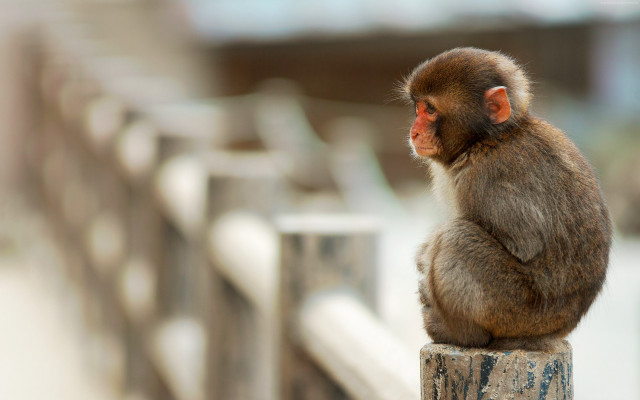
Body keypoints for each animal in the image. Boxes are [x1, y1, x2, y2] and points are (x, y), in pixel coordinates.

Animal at [400, 47, 612, 351]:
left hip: (516, 311)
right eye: (417, 107)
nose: (414, 132)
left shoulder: (487, 178)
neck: (487, 140)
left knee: (457, 237)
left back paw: (460, 335)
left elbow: (524, 244)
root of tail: (556, 330)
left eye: (430, 109)